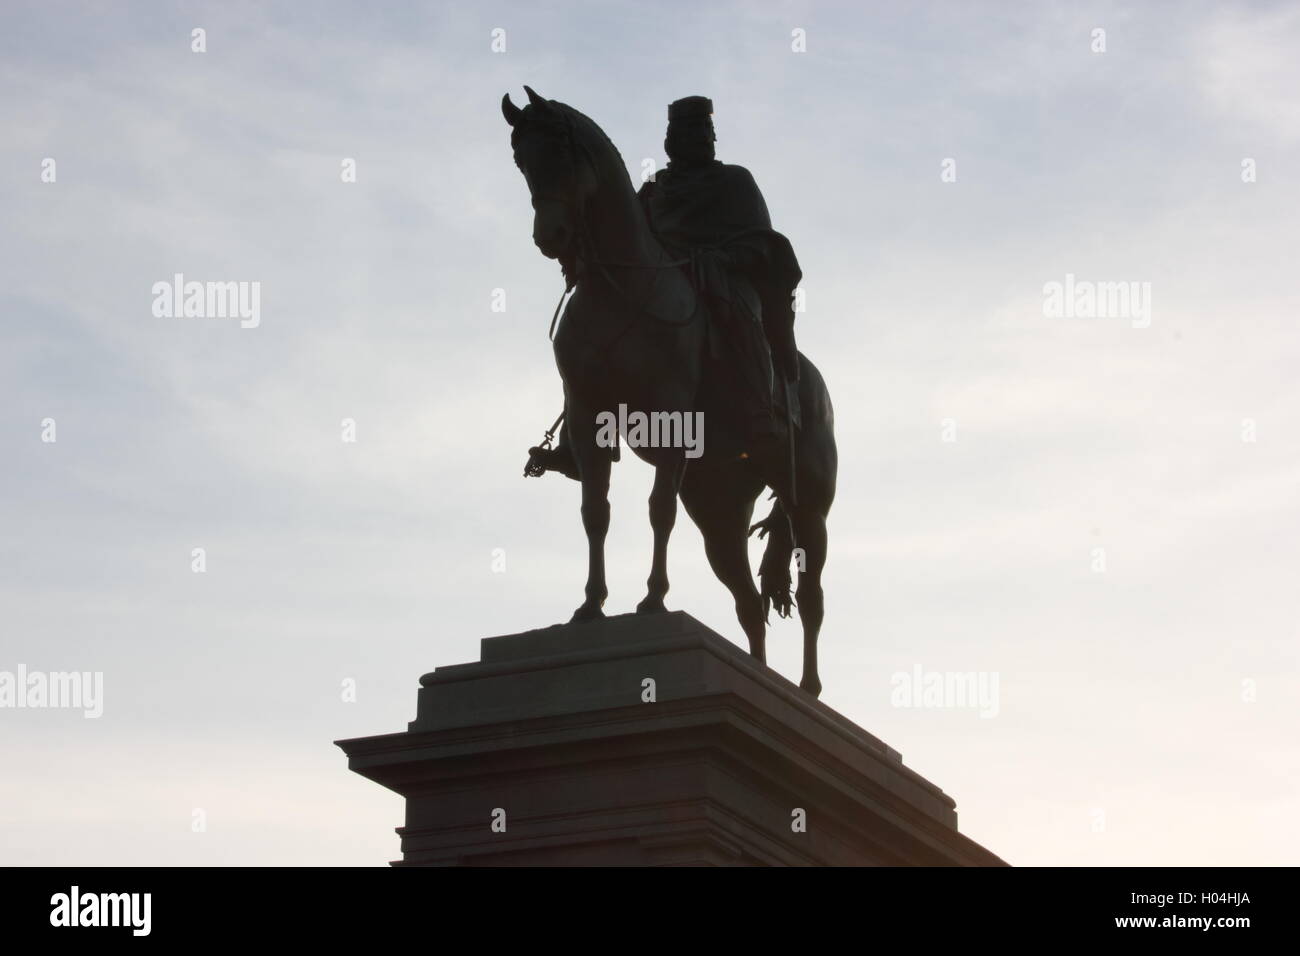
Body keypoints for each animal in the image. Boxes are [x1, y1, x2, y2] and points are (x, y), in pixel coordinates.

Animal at [501, 87, 837, 697]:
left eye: (559, 152)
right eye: (521, 160)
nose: (550, 238)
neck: (622, 288)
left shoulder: (672, 417)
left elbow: (658, 510)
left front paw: (653, 601)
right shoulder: (588, 417)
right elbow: (595, 511)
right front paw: (590, 607)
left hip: (809, 505)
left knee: (811, 596)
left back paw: (807, 690)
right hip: (719, 509)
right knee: (748, 603)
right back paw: (759, 675)